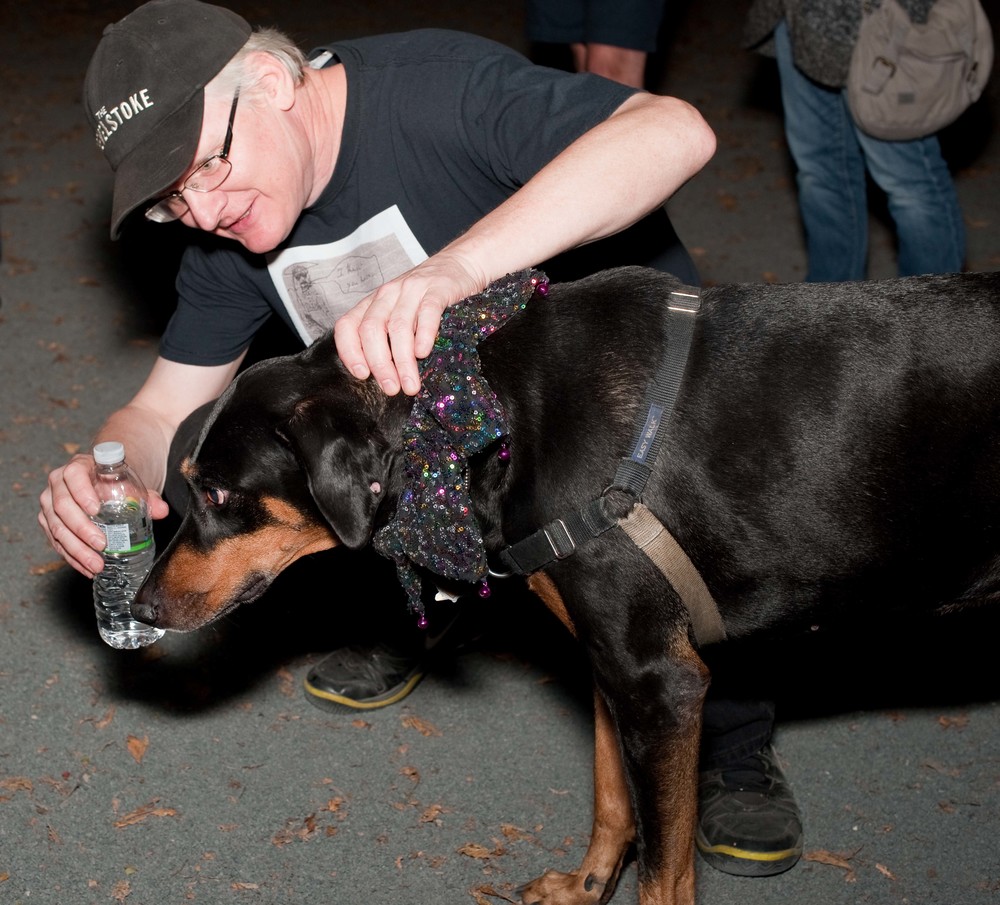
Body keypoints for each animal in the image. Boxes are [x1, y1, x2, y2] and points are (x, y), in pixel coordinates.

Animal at [133, 266, 1000, 904]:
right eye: (190, 482)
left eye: (219, 493)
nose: (140, 603)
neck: (493, 415)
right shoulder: (614, 665)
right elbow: (611, 797)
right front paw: (587, 885)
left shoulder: (662, 683)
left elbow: (666, 876)